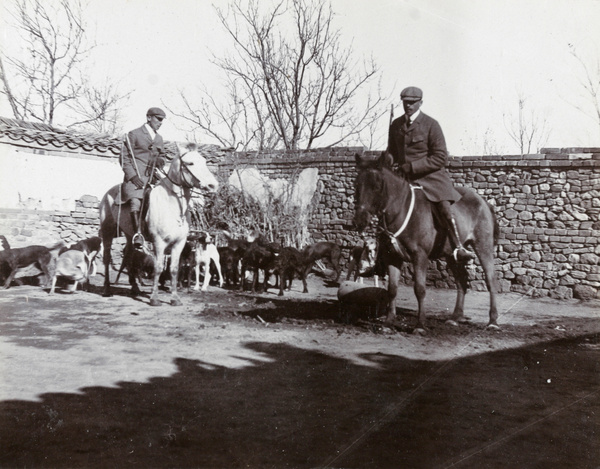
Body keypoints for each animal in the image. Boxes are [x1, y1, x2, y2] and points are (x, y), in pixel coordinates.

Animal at [354, 152, 500, 330]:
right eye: (356, 185)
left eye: (376, 186)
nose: (359, 221)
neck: (400, 210)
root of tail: (483, 201)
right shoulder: (392, 257)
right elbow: (392, 289)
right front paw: (388, 322)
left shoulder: (420, 256)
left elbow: (420, 289)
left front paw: (420, 325)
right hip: (451, 255)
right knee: (462, 282)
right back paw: (455, 317)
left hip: (483, 246)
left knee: (490, 280)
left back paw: (492, 321)